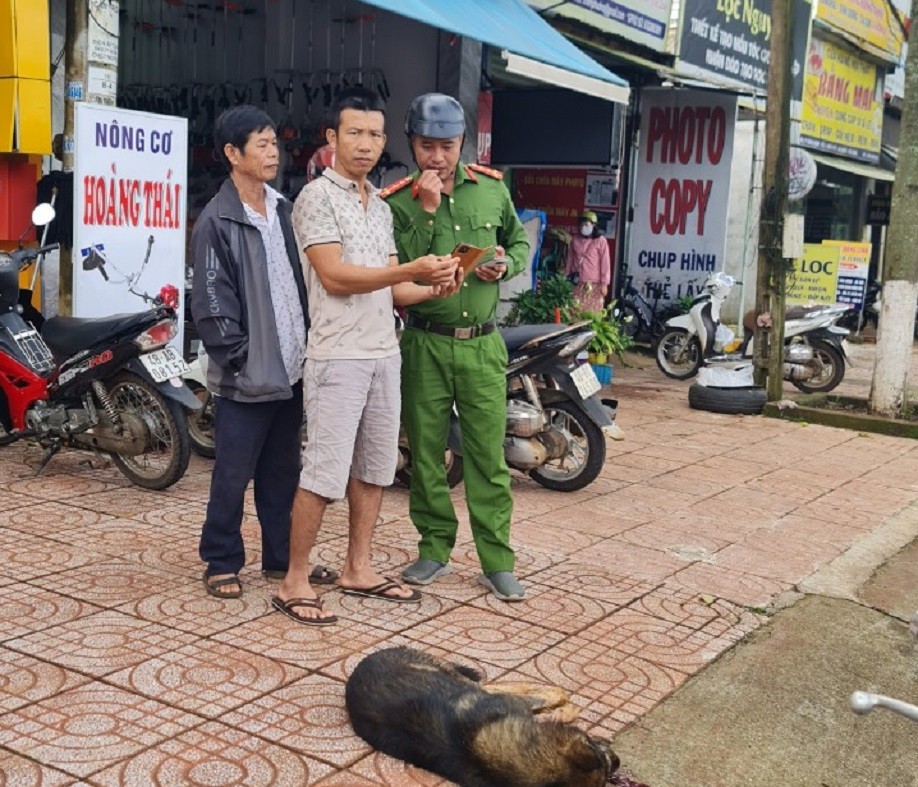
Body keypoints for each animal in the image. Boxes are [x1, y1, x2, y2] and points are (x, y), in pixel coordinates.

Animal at [346, 648, 624, 787]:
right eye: (603, 760)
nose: (619, 761)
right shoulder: (510, 702)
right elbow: (555, 693)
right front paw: (560, 710)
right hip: (453, 676)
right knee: (493, 684)